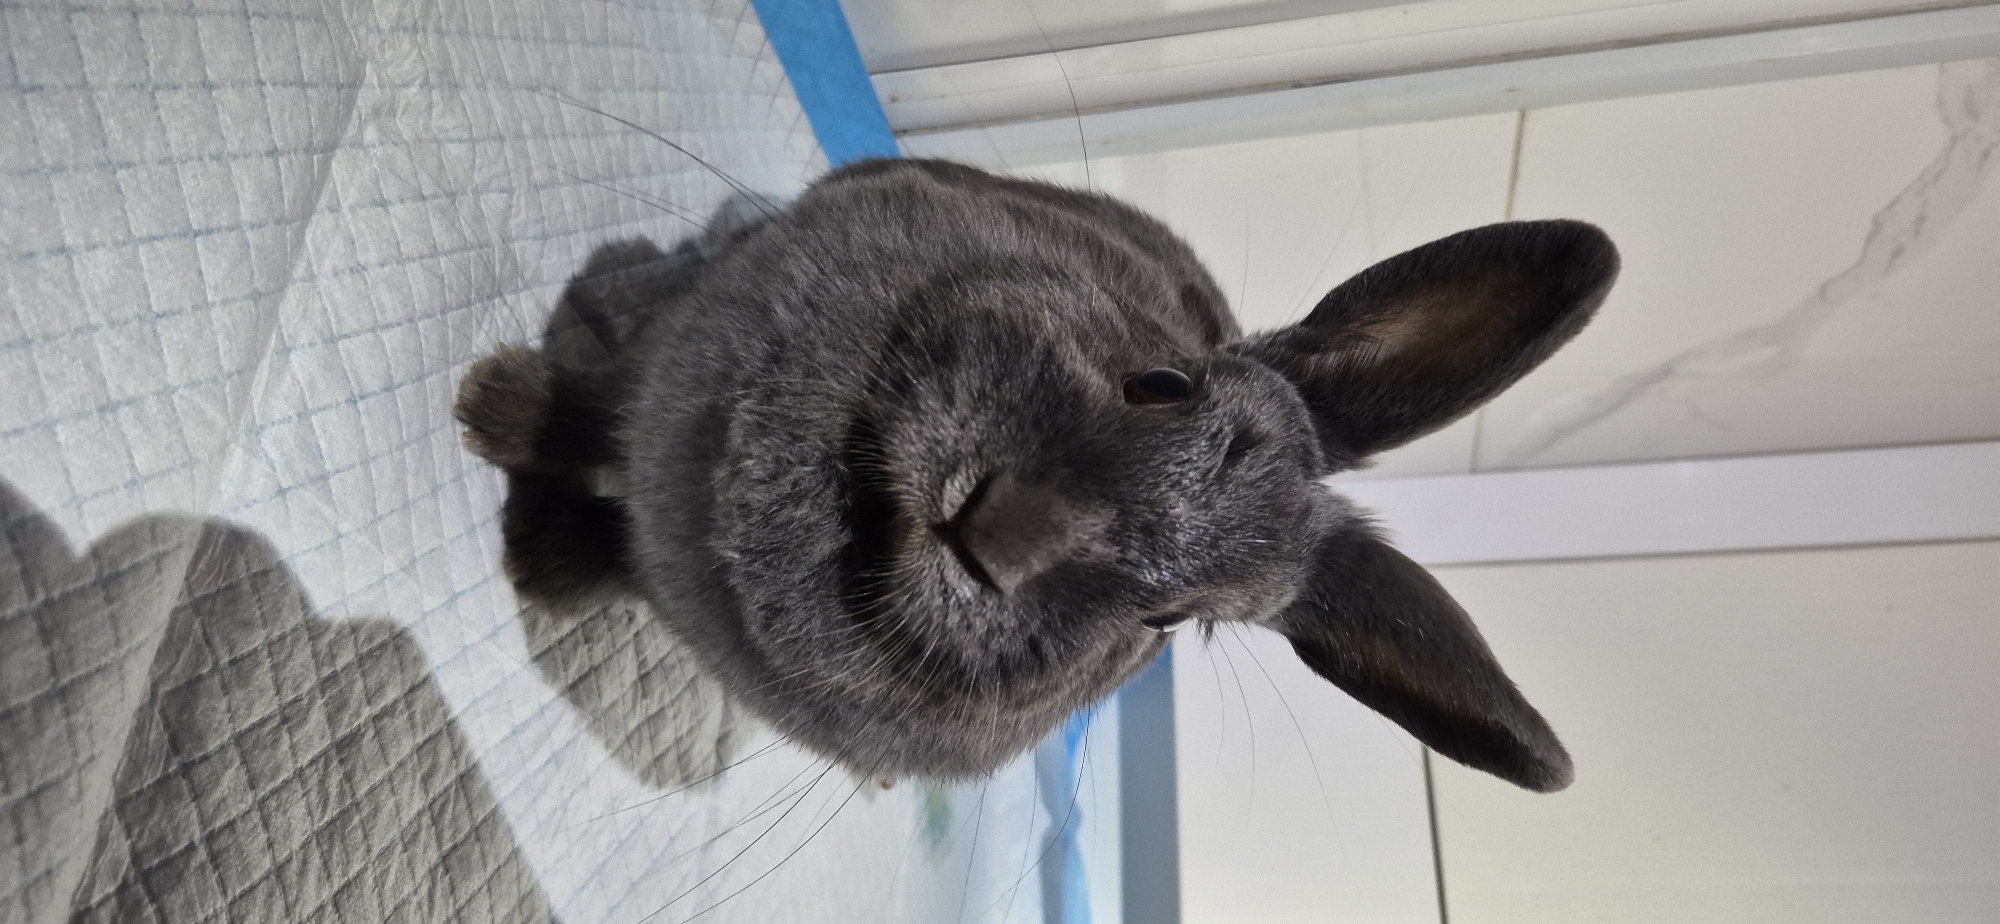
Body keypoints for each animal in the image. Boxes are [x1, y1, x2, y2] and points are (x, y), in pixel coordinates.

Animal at [455, 157, 1618, 792]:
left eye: (1164, 624)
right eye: (1164, 381)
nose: (1001, 533)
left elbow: (627, 552)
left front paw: (541, 563)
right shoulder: (670, 380)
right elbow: (602, 409)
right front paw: (493, 408)